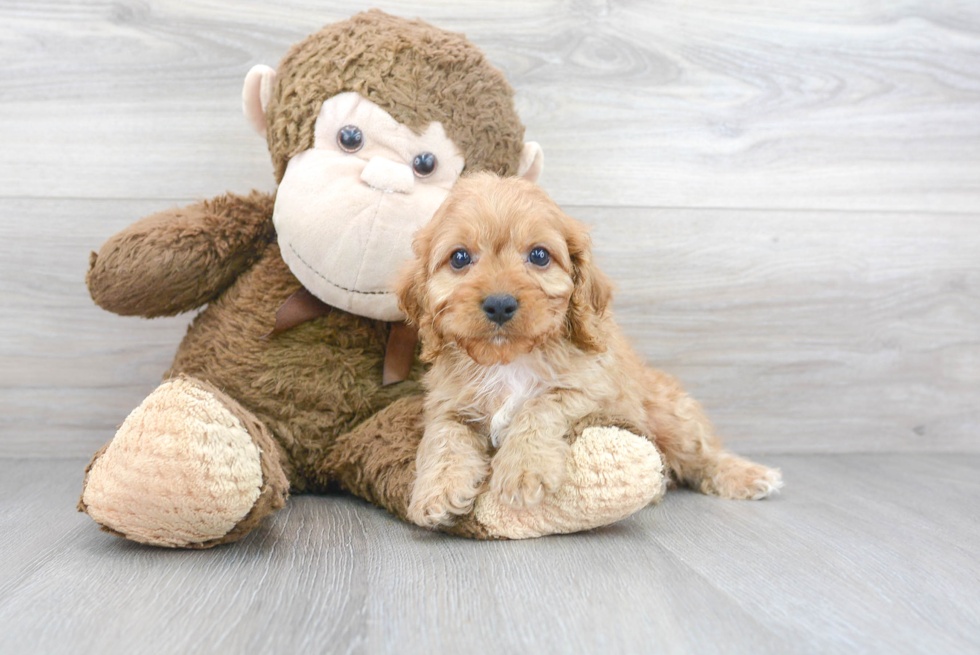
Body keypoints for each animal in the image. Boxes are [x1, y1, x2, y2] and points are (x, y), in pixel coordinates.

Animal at [398, 173, 780, 528]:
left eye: (539, 255)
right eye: (459, 258)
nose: (500, 304)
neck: (510, 361)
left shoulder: (591, 389)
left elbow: (539, 405)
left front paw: (523, 469)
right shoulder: (446, 404)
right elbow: (445, 436)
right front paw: (437, 492)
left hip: (672, 417)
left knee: (704, 455)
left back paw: (747, 476)